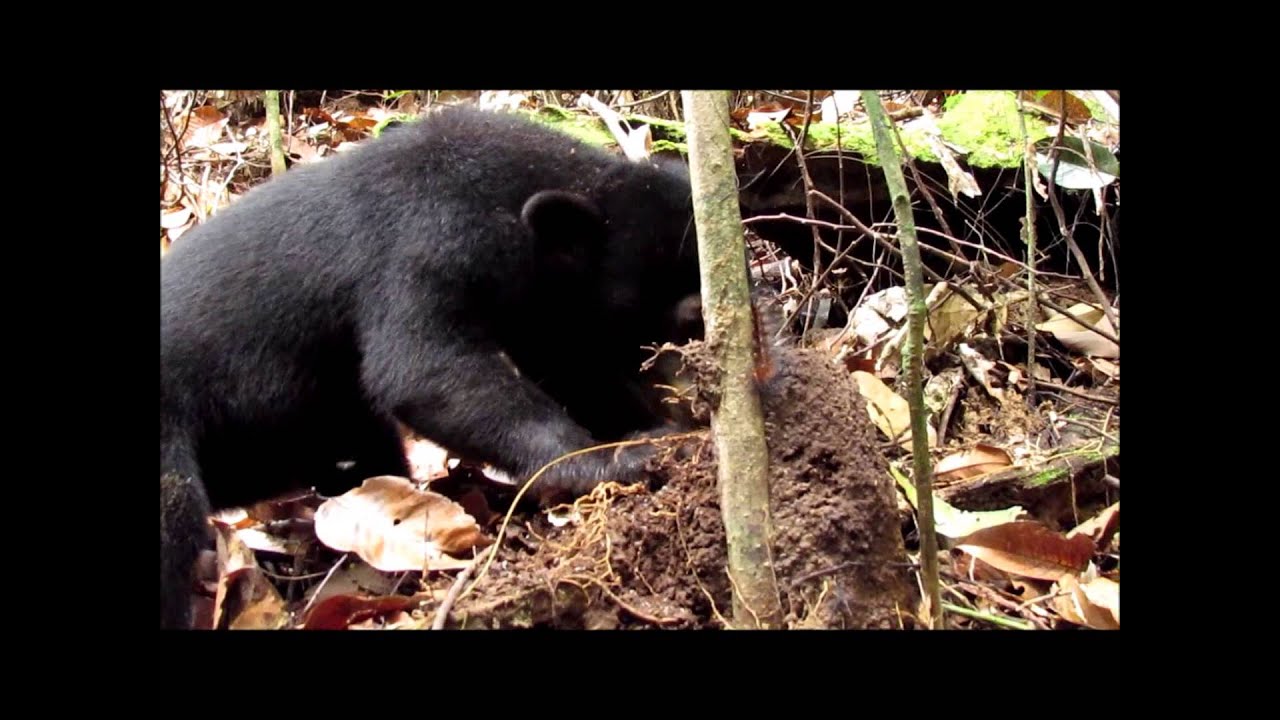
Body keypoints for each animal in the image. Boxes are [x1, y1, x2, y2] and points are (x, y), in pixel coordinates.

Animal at [161, 106, 703, 628]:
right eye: (688, 314)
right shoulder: (431, 240)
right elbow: (423, 368)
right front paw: (619, 459)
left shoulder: (532, 305)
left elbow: (571, 367)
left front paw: (654, 432)